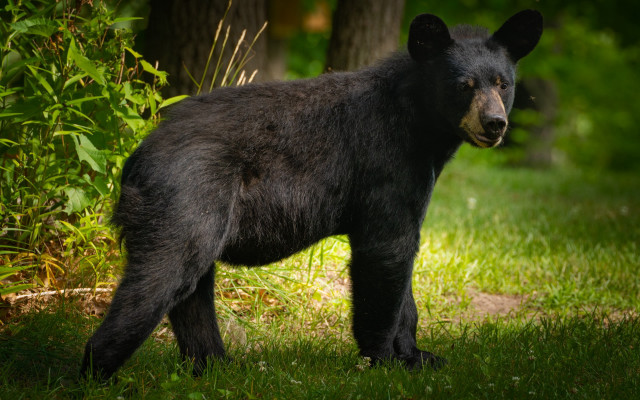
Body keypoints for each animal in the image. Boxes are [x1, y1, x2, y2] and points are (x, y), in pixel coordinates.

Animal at [81, 10, 543, 379]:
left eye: (503, 84)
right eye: (464, 85)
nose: (494, 123)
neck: (420, 126)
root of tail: (134, 162)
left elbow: (404, 273)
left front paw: (419, 355)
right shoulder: (387, 166)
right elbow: (386, 254)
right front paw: (383, 361)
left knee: (193, 292)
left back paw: (215, 366)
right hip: (184, 198)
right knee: (159, 279)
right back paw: (99, 374)